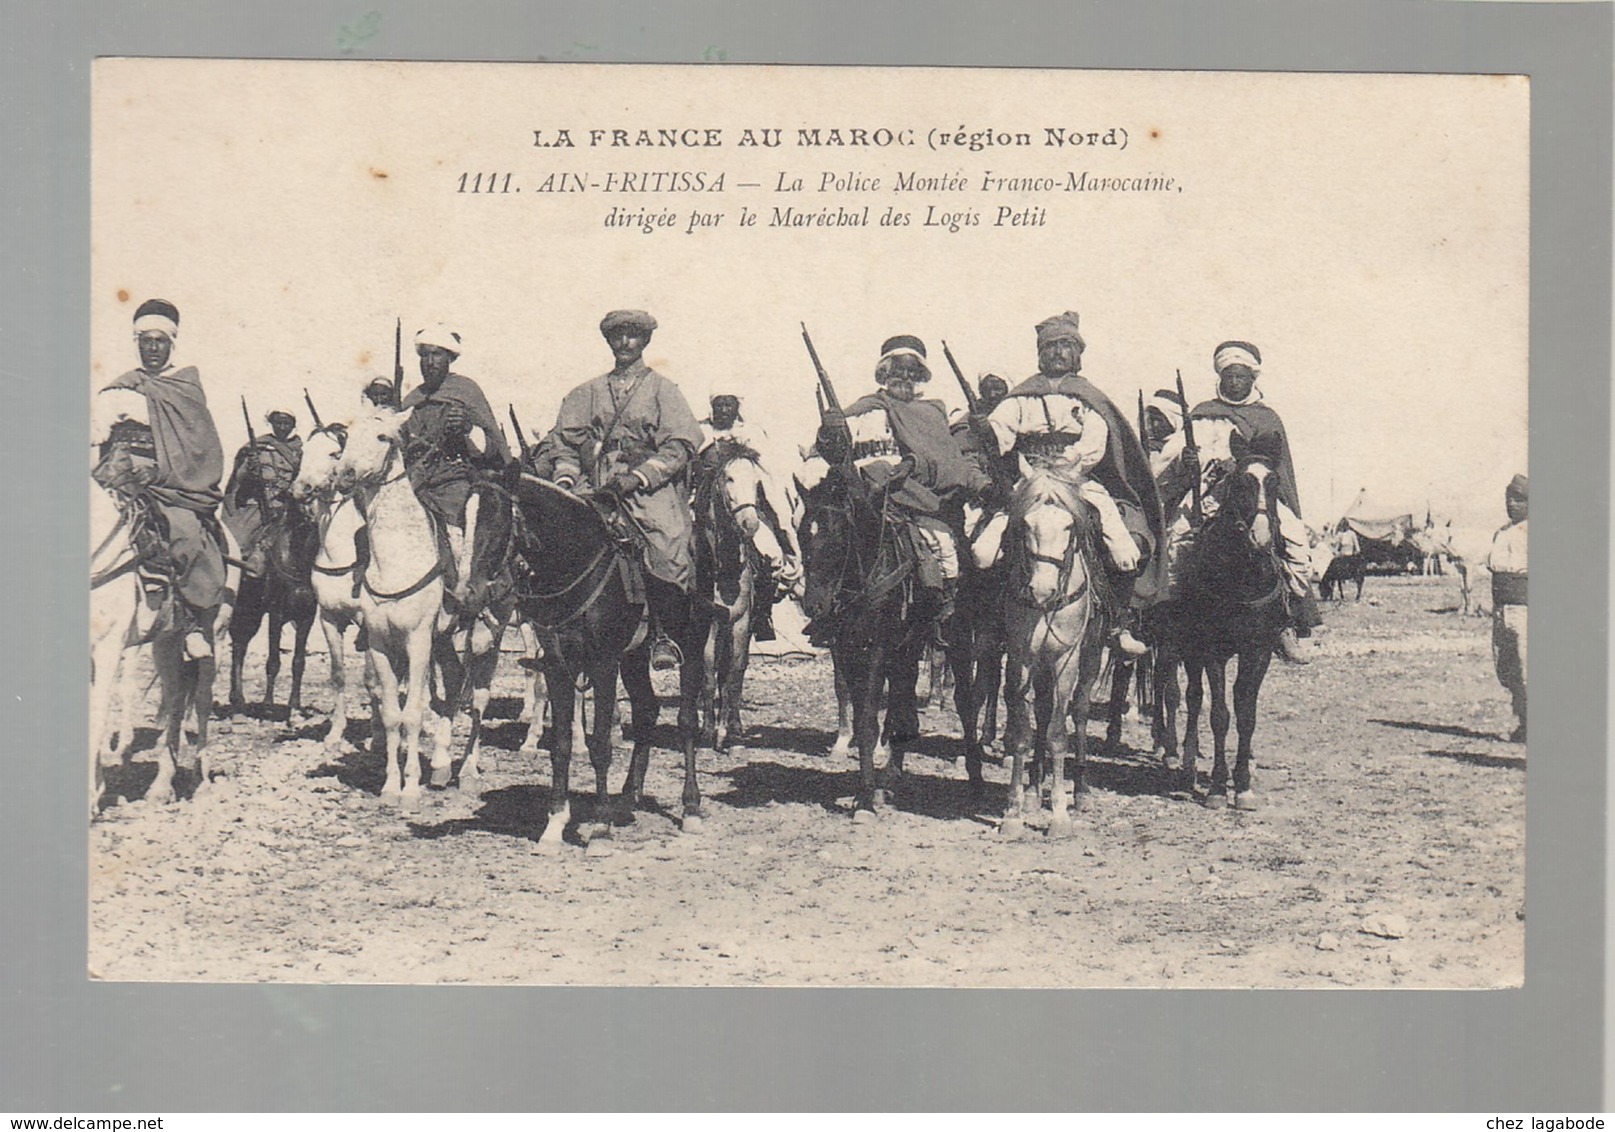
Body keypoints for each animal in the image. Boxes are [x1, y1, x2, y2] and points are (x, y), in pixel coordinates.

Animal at [510, 471, 713, 852]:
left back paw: (691, 808)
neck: (576, 558)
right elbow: (561, 744)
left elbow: (602, 743)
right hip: (633, 657)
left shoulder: (602, 662)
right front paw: (555, 824)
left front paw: (600, 828)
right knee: (647, 711)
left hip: (692, 643)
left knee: (686, 721)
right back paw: (628, 797)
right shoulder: (560, 665)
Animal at [994, 471, 1111, 839]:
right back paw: (1034, 789)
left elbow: (1059, 734)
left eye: (1069, 526)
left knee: (1080, 711)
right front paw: (1014, 812)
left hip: (1089, 658)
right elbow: (1022, 733)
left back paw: (1081, 790)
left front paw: (1059, 816)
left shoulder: (1065, 660)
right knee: (1043, 713)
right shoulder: (1021, 657)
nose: (1042, 590)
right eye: (1026, 524)